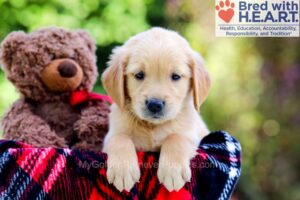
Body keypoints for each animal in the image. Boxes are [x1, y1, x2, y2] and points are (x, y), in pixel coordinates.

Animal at [102, 27, 210, 191]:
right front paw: (123, 170)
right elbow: (120, 138)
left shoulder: (191, 136)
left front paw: (173, 170)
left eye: (176, 76)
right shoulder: (112, 135)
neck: (152, 126)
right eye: (139, 75)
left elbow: (175, 137)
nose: (155, 104)